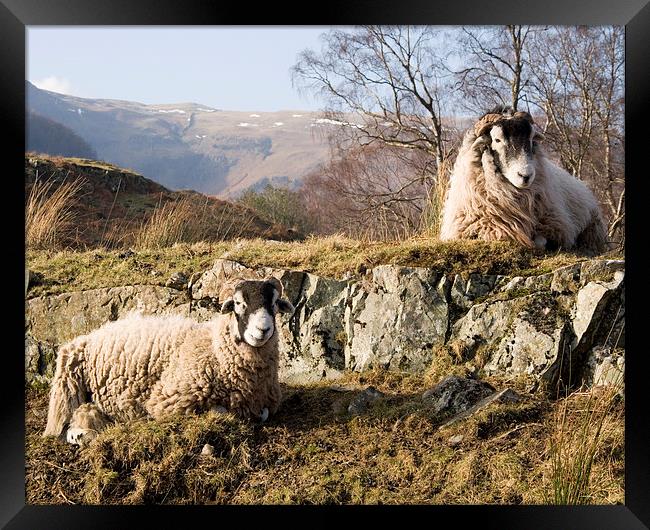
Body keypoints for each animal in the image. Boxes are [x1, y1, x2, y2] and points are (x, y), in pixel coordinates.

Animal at [45, 274, 296, 444]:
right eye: (239, 304)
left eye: (274, 304)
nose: (263, 330)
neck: (214, 347)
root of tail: (95, 332)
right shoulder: (169, 402)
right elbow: (221, 411)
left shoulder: (265, 403)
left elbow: (263, 413)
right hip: (66, 387)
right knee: (63, 423)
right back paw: (78, 434)